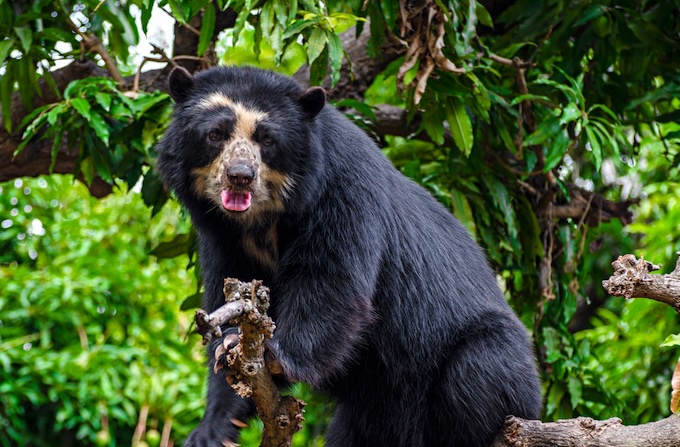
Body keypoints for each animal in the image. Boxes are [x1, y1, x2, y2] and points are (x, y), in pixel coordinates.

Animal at [158, 64, 540, 447]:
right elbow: (231, 296)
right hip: (367, 412)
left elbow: (330, 281)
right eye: (215, 134)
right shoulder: (222, 238)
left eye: (267, 139)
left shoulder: (342, 191)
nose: (240, 176)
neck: (262, 220)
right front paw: (215, 416)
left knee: (476, 370)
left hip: (487, 361)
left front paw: (274, 356)